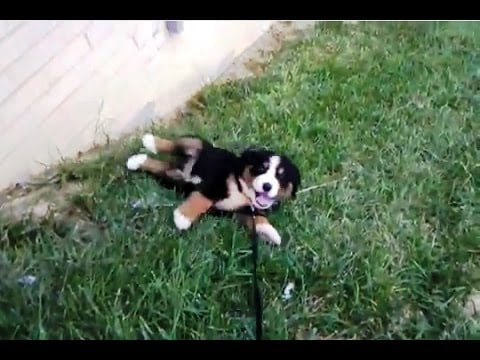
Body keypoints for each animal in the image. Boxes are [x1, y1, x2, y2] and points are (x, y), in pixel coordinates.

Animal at [126, 134, 300, 246]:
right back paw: (149, 141)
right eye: (261, 169)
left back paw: (136, 160)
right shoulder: (215, 182)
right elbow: (203, 199)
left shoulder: (240, 211)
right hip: (196, 144)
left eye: (280, 177)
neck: (243, 192)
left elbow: (257, 219)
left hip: (173, 178)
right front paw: (182, 217)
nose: (267, 186)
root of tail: (182, 166)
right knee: (175, 144)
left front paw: (271, 233)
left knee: (161, 166)